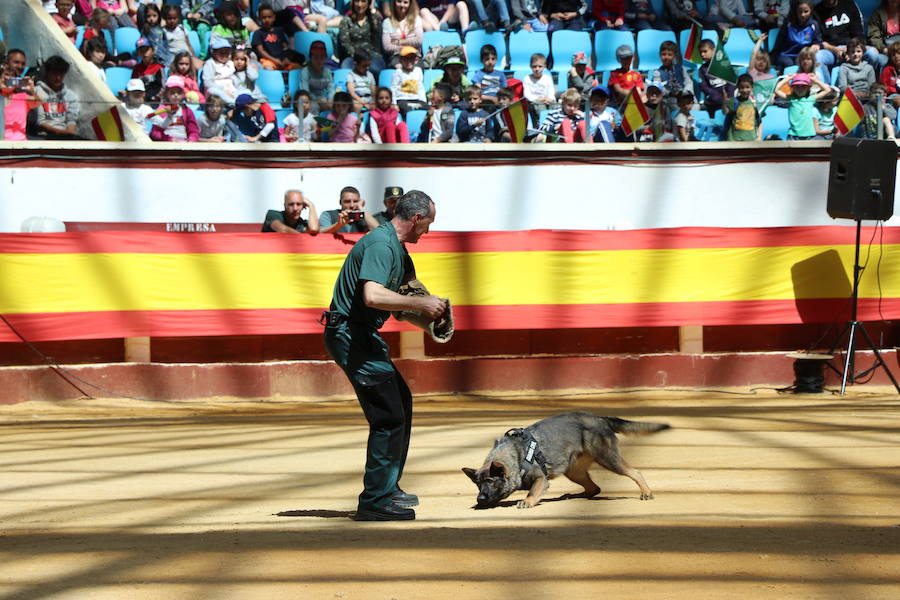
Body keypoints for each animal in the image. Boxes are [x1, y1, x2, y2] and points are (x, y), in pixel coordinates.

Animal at [464, 412, 668, 506]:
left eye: (491, 481)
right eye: (477, 485)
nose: (480, 499)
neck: (517, 456)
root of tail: (600, 418)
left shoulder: (541, 479)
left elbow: (532, 492)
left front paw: (528, 501)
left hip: (608, 459)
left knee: (635, 472)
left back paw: (646, 492)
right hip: (574, 472)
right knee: (594, 489)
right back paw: (572, 495)